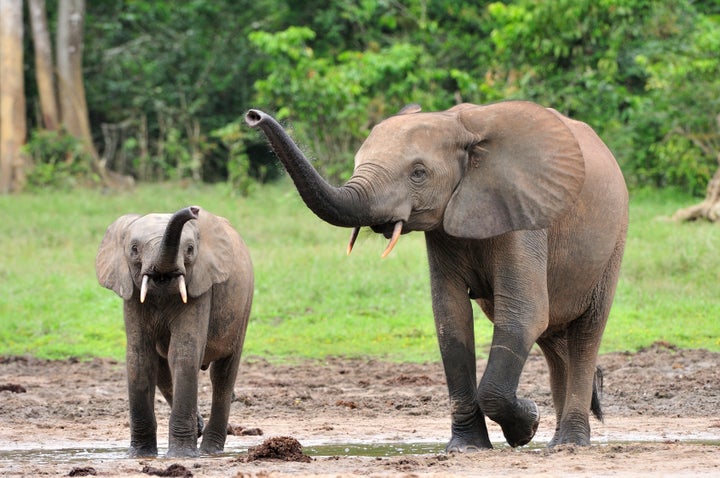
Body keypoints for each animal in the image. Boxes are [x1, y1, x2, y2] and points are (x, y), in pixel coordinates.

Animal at [94, 207, 255, 458]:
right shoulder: (131, 292)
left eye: (189, 250)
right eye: (134, 249)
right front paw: (140, 455)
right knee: (162, 367)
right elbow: (139, 358)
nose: (193, 210)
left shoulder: (200, 285)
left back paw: (210, 450)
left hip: (244, 303)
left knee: (223, 375)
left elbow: (184, 353)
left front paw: (182, 455)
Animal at [245, 100, 628, 448]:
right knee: (553, 340)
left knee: (585, 334)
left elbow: (523, 314)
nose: (253, 115)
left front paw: (527, 424)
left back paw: (570, 443)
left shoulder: (524, 212)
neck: (462, 128)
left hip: (614, 243)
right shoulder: (445, 230)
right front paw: (467, 448)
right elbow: (450, 320)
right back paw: (557, 440)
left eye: (418, 173)